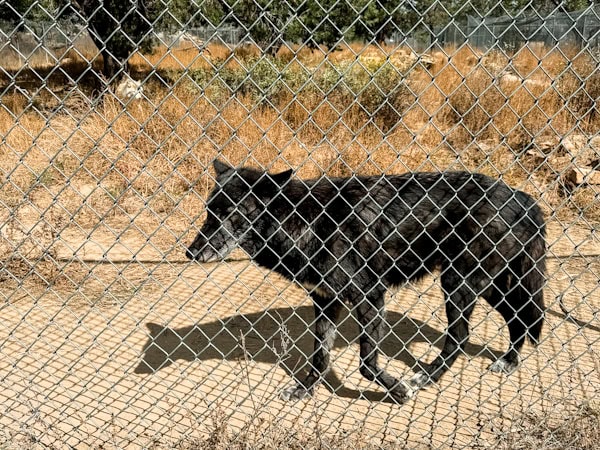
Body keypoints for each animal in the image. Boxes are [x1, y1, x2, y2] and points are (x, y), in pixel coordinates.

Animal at [188, 161, 548, 404]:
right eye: (208, 212)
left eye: (229, 213)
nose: (190, 252)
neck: (305, 221)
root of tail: (522, 196)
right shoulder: (326, 302)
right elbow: (319, 358)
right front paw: (303, 391)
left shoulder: (370, 297)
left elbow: (365, 363)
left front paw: (398, 390)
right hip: (489, 284)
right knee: (519, 318)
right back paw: (509, 361)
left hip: (459, 283)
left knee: (462, 336)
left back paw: (426, 378)